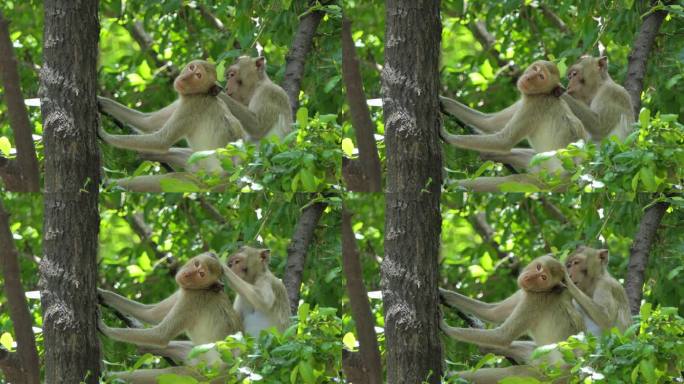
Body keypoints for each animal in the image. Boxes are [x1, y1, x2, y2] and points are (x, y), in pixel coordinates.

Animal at [97, 59, 244, 191]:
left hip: (209, 180)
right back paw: (148, 154)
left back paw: (108, 184)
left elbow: (162, 141)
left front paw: (104, 135)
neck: (202, 93)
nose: (184, 78)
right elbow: (147, 122)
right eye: (191, 67)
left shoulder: (191, 106)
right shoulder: (183, 102)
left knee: (172, 179)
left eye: (198, 75)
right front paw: (100, 101)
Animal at [98, 254, 243, 382]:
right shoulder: (184, 292)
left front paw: (105, 329)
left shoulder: (192, 299)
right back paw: (145, 348)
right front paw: (103, 294)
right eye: (196, 264)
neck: (204, 289)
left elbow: (161, 335)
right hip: (197, 357)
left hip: (207, 374)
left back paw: (107, 376)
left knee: (172, 373)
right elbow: (150, 314)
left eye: (201, 274)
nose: (187, 274)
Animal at [438, 255, 584, 384]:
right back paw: (487, 349)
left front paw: (445, 328)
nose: (529, 278)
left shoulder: (534, 301)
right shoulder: (525, 293)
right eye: (538, 267)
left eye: (543, 278)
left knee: (515, 373)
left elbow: (503, 336)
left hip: (553, 375)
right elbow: (492, 313)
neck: (546, 291)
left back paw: (449, 375)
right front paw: (444, 293)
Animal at [440, 60, 592, 191]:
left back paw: (450, 184)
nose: (529, 77)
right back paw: (487, 154)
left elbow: (504, 141)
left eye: (541, 77)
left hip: (552, 181)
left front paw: (447, 136)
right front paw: (442, 101)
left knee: (513, 181)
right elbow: (488, 122)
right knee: (529, 156)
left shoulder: (533, 106)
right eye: (535, 69)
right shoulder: (525, 101)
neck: (544, 94)